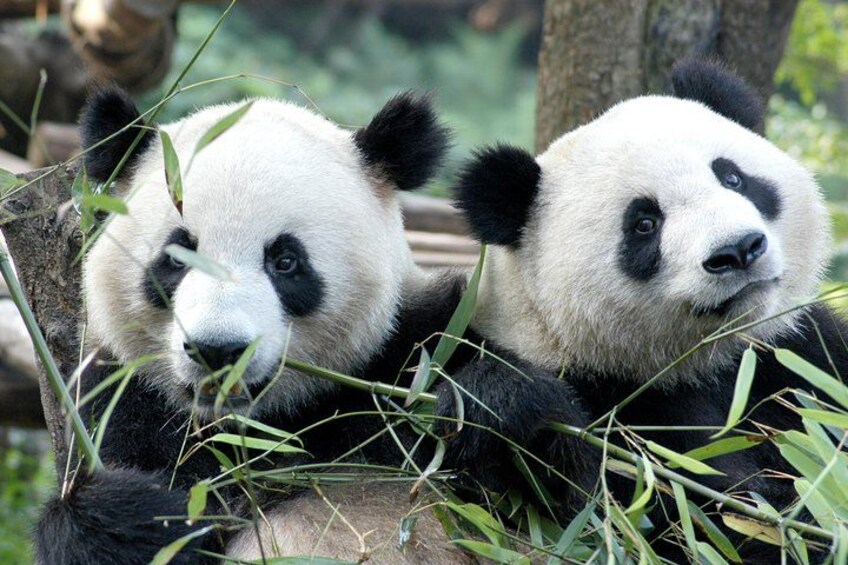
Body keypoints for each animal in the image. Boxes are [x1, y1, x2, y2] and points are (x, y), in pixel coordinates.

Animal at [35, 88, 478, 564]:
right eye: (176, 258)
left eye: (285, 261)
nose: (217, 349)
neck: (263, 429)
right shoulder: (125, 406)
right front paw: (136, 519)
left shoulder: (409, 348)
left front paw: (472, 405)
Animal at [443, 59, 846, 562]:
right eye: (644, 223)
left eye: (732, 178)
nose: (737, 250)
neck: (707, 362)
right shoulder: (617, 404)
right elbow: (676, 514)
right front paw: (506, 402)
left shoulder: (796, 355)